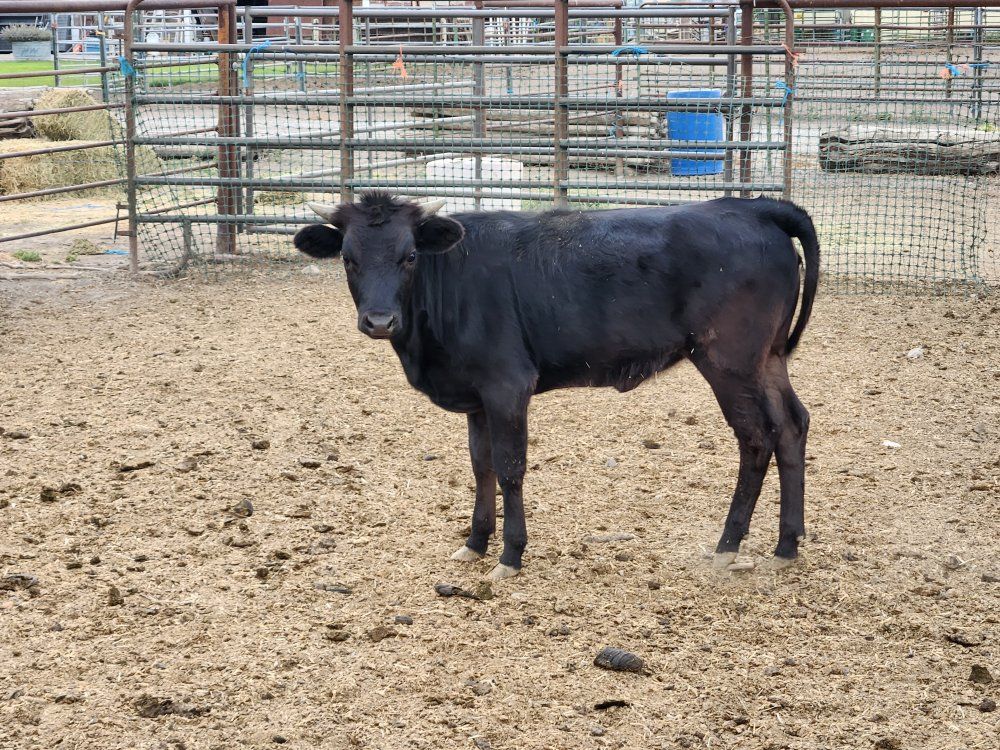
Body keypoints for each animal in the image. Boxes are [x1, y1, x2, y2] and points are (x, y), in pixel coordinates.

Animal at [294, 191, 819, 581]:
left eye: (409, 256)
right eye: (348, 258)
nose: (380, 320)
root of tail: (752, 207)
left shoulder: (507, 384)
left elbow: (509, 468)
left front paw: (510, 555)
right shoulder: (476, 396)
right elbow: (481, 465)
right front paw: (475, 542)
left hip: (729, 360)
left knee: (757, 438)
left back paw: (728, 546)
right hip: (769, 359)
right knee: (793, 426)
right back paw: (786, 545)